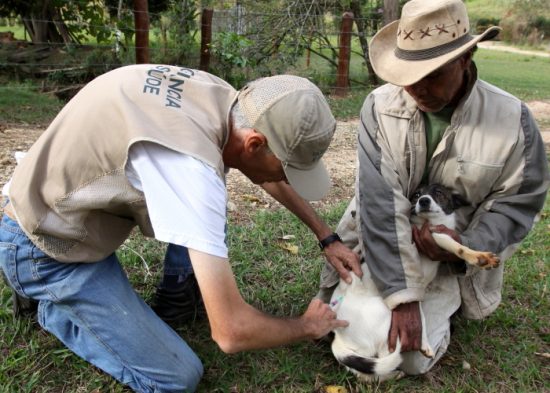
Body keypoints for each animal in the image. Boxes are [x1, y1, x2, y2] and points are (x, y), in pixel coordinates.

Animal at [330, 185, 502, 382]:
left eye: (439, 193)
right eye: (417, 195)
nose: (424, 201)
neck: (427, 223)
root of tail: (337, 336)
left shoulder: (415, 289)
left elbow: (420, 316)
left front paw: (424, 343)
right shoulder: (430, 238)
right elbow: (454, 245)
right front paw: (479, 257)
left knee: (363, 370)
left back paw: (391, 375)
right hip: (385, 316)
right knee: (385, 355)